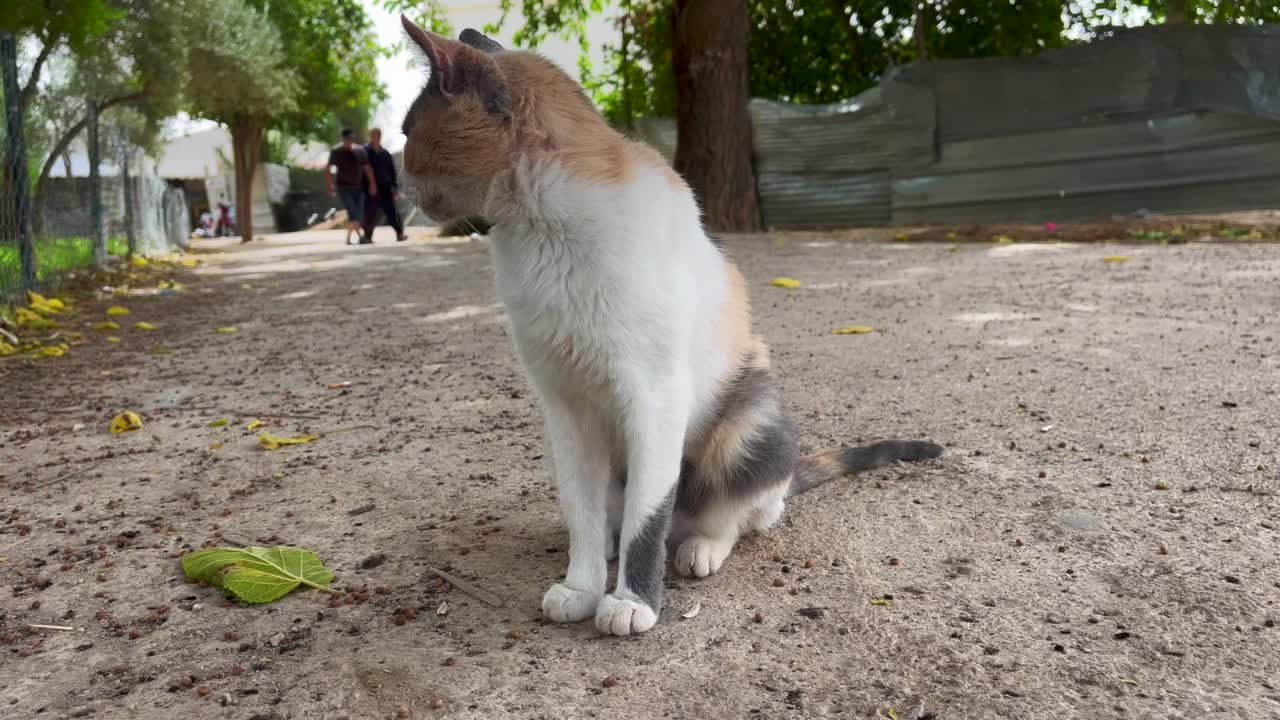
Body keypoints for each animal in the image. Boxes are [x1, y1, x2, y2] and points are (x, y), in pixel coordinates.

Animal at [394, 18, 947, 632]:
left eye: (408, 129)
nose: (396, 179)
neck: (541, 232)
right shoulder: (564, 404)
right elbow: (580, 508)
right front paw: (582, 585)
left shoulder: (654, 396)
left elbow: (648, 514)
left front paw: (633, 601)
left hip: (748, 422)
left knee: (740, 512)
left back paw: (699, 547)